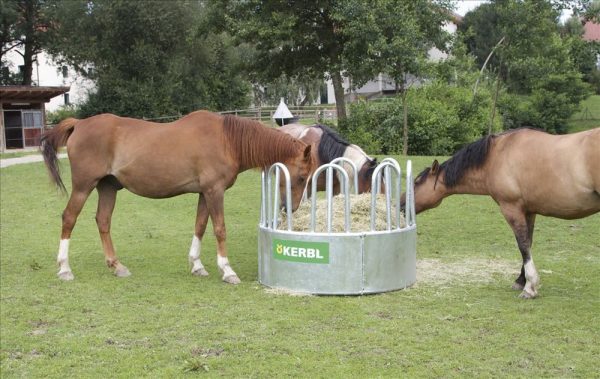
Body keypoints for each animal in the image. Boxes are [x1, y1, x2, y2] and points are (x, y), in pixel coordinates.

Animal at [41, 111, 314, 284]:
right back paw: (64, 268)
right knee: (69, 218)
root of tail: (79, 124)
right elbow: (219, 229)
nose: (290, 208)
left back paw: (116, 266)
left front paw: (197, 265)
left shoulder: (205, 193)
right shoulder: (214, 192)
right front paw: (227, 271)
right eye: (302, 177)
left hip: (107, 188)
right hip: (83, 186)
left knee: (103, 221)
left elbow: (200, 226)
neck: (226, 140)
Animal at [404, 127, 600, 300]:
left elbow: (523, 245)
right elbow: (528, 243)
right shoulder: (529, 211)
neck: (496, 156)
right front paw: (521, 280)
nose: (401, 203)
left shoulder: (511, 208)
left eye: (417, 181)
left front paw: (530, 287)